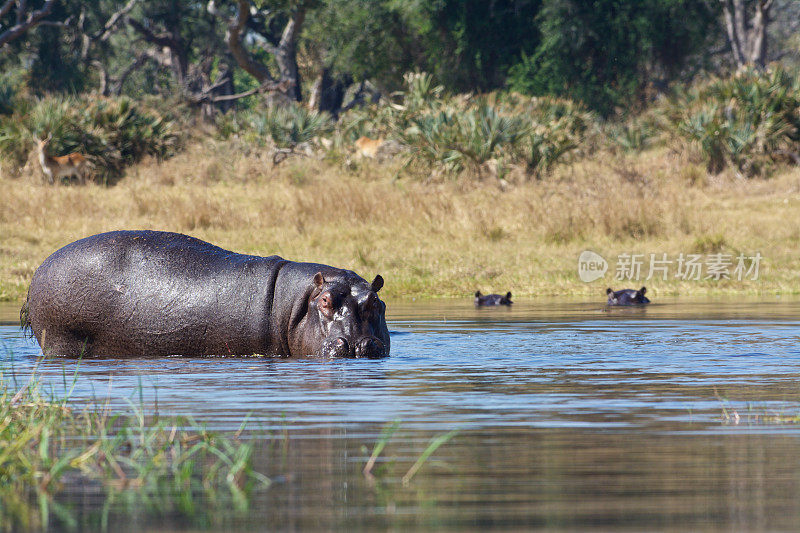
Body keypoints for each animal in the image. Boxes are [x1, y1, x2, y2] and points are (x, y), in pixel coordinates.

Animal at [20, 230, 390, 358]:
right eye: (325, 301)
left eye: (375, 303)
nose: (354, 344)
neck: (297, 303)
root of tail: (40, 268)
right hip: (61, 340)